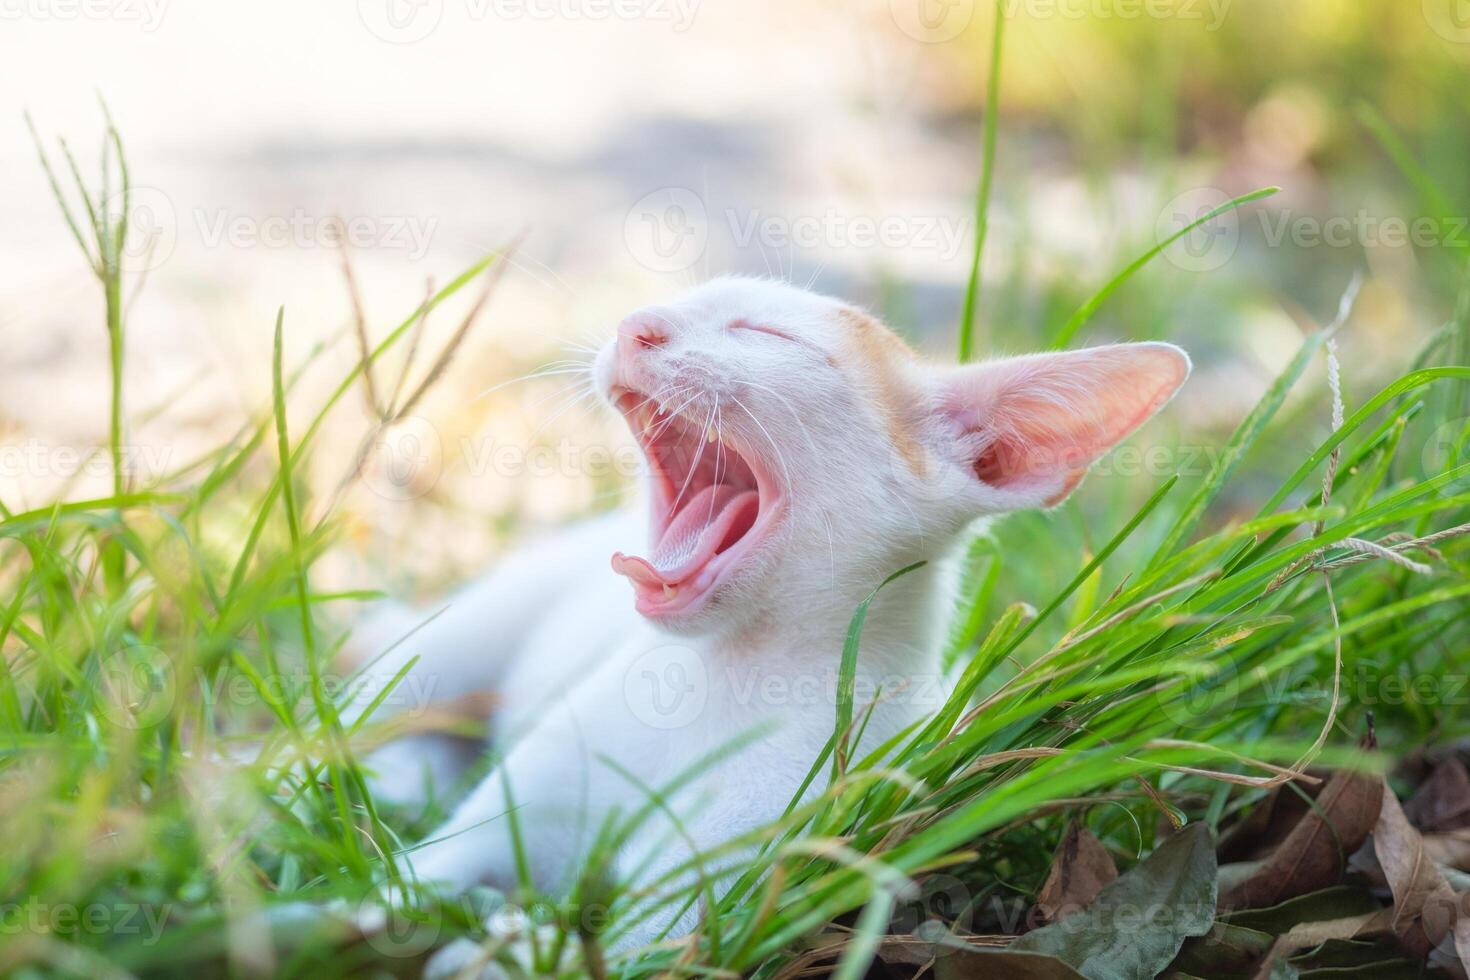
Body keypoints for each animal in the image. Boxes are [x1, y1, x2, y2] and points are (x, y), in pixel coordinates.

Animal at [349, 279, 1187, 952]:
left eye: (765, 334)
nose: (636, 324)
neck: (723, 676)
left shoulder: (737, 868)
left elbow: (618, 947)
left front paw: (487, 949)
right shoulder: (520, 805)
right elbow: (417, 871)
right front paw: (351, 914)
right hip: (465, 635)